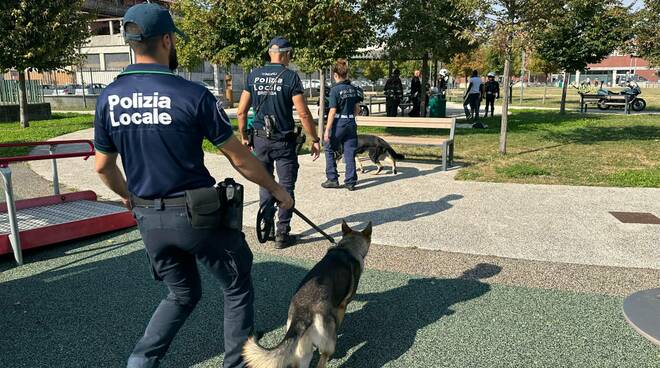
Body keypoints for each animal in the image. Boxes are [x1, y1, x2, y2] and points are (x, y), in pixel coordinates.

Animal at [242, 220, 372, 366]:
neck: (346, 248)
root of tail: (302, 314)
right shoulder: (342, 307)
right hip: (326, 345)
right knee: (323, 359)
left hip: (303, 352)